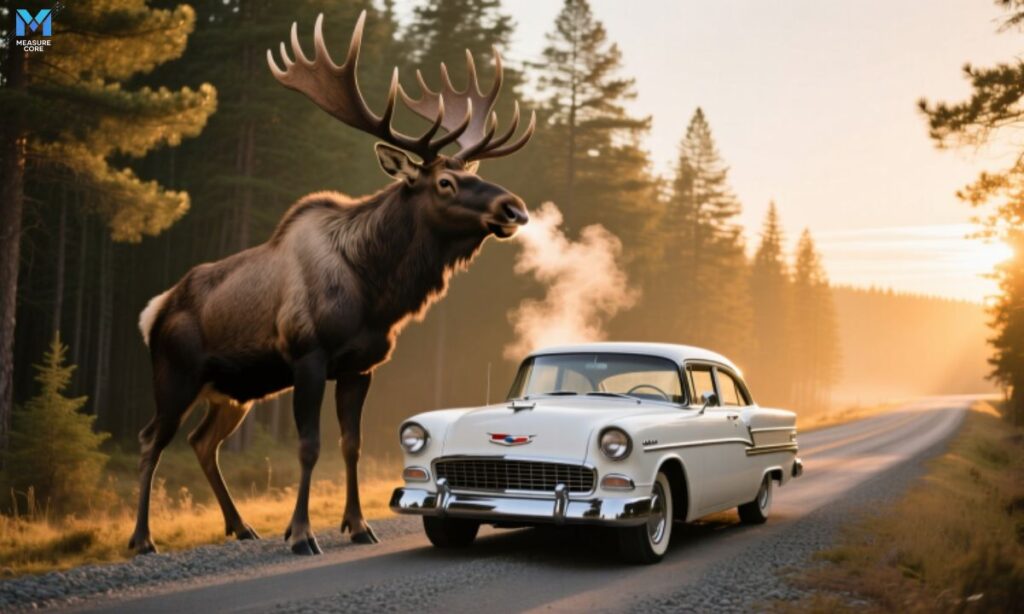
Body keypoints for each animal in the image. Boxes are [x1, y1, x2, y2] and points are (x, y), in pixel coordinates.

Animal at [128, 11, 535, 556]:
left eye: (472, 173)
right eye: (446, 183)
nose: (514, 208)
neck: (376, 291)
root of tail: (154, 311)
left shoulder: (360, 366)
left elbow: (351, 444)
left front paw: (358, 525)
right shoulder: (308, 354)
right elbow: (308, 445)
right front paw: (301, 533)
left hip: (233, 391)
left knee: (202, 441)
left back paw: (240, 525)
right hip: (175, 373)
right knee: (151, 438)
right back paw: (142, 537)